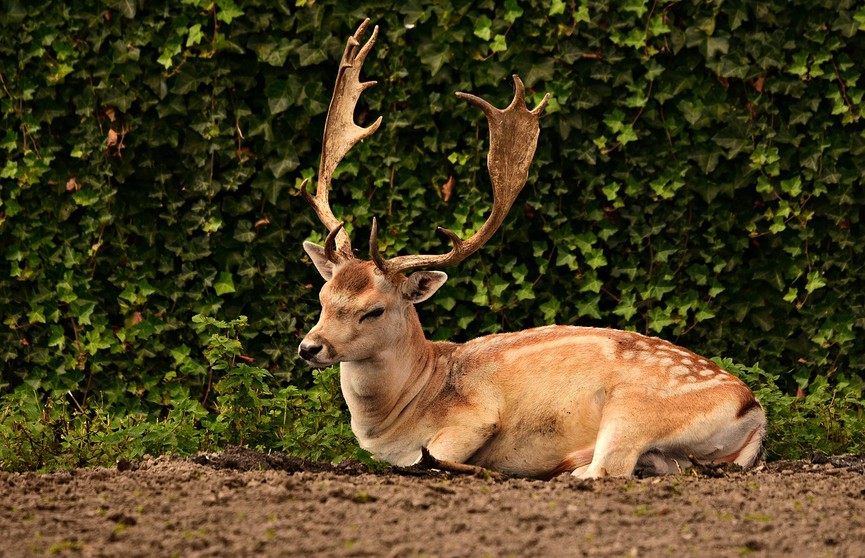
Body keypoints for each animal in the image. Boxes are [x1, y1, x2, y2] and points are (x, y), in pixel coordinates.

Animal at [296, 18, 764, 482]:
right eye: (322, 296)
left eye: (374, 310)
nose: (309, 347)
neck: (406, 406)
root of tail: (754, 412)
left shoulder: (475, 417)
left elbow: (433, 451)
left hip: (634, 407)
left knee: (607, 468)